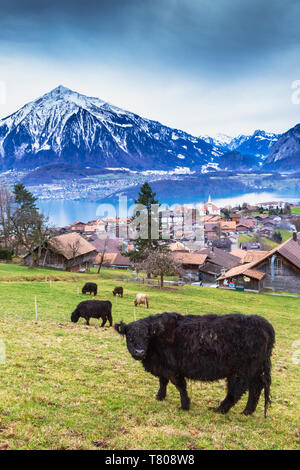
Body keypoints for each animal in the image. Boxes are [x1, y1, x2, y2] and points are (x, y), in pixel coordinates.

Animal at [115, 314, 276, 416]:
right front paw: (160, 397)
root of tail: (263, 323)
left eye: (147, 337)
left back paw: (220, 409)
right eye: (129, 337)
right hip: (254, 370)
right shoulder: (162, 367)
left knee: (237, 391)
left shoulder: (173, 369)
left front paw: (184, 406)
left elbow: (180, 386)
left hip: (241, 371)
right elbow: (163, 382)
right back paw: (247, 412)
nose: (139, 352)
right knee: (256, 387)